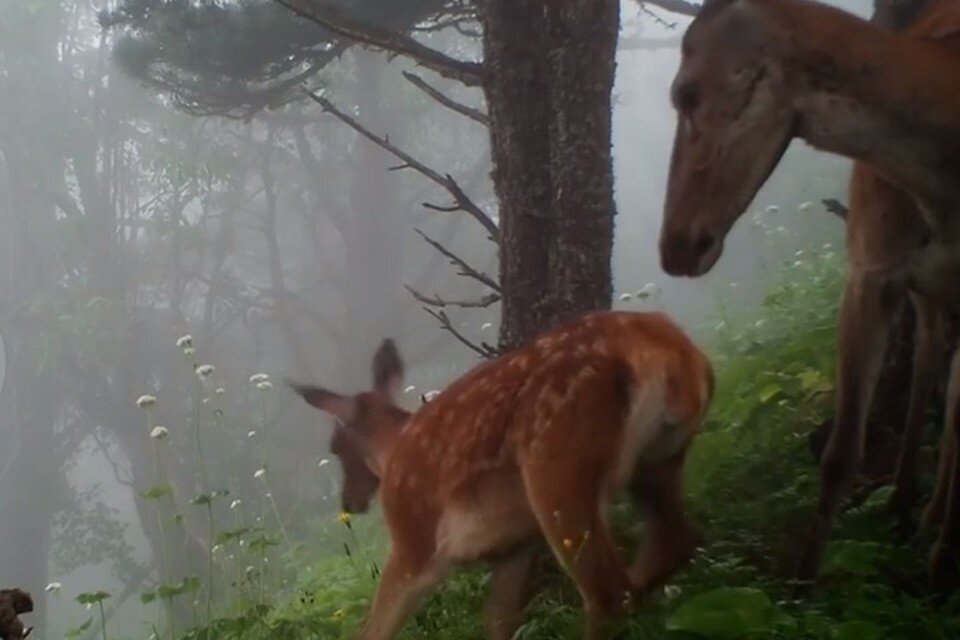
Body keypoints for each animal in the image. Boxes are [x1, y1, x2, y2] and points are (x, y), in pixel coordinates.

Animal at [288, 308, 716, 636]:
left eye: (335, 446)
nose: (350, 502)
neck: (393, 450)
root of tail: (661, 345)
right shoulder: (513, 547)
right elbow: (497, 622)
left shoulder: (414, 539)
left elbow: (373, 628)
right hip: (660, 455)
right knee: (672, 543)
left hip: (557, 465)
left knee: (608, 592)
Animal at [656, 0, 960, 592]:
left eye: (685, 93)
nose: (675, 247)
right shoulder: (868, 268)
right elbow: (841, 453)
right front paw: (801, 587)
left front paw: (941, 573)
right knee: (930, 353)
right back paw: (906, 504)